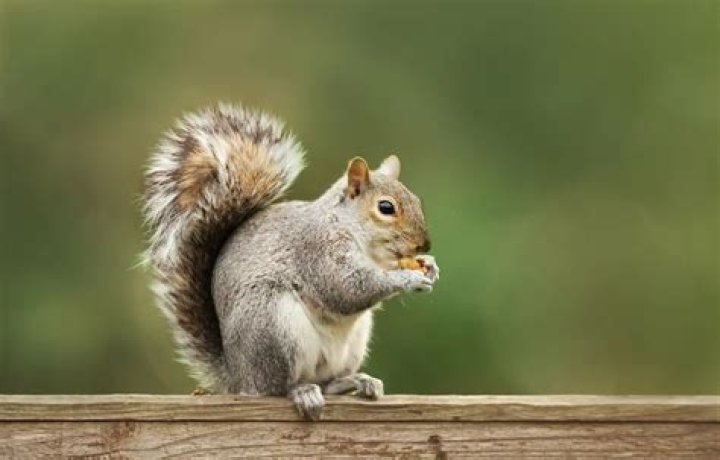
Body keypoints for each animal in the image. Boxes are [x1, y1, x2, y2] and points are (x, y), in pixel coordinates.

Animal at [143, 103, 439, 420]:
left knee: (327, 382)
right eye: (386, 207)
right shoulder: (317, 251)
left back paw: (356, 382)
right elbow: (347, 289)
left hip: (351, 342)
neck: (359, 237)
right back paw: (302, 392)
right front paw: (408, 278)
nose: (424, 244)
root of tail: (238, 377)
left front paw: (429, 265)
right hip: (272, 324)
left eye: (417, 201)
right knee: (277, 387)